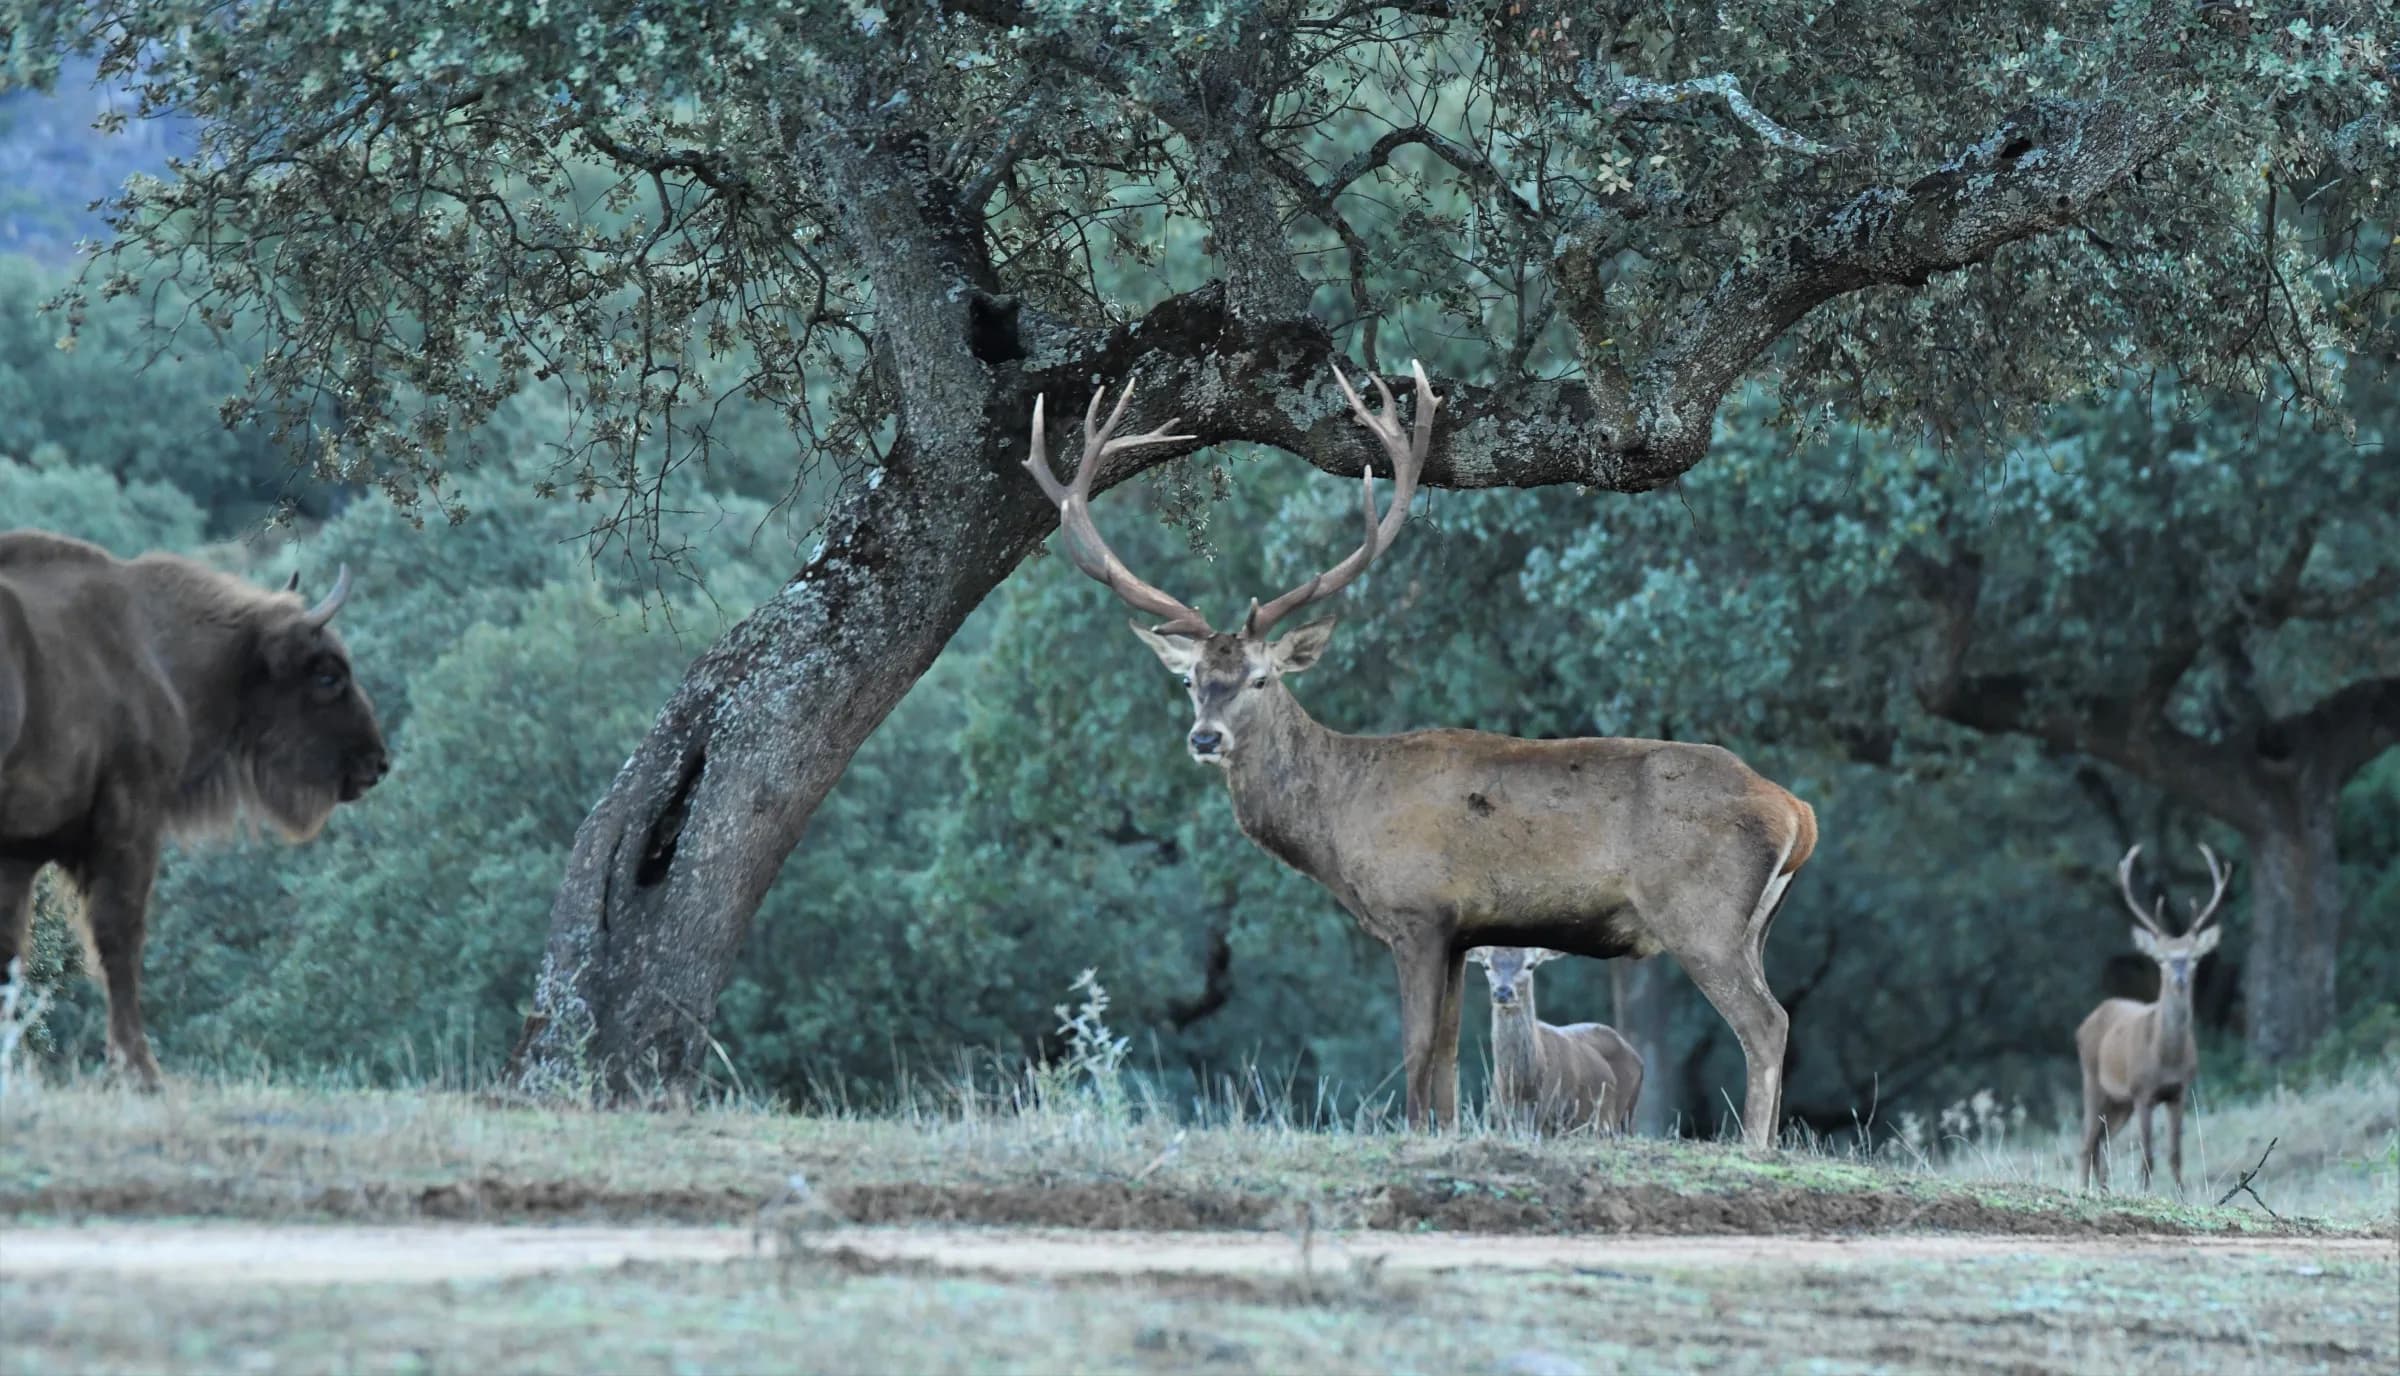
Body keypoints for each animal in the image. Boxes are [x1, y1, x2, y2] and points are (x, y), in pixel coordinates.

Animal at [1470, 947, 1644, 1134]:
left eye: (1530, 965)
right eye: (1486, 965)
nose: (1503, 992)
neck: (1523, 1087)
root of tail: (1638, 1058)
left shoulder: (1557, 1114)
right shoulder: (1501, 1116)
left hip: (1624, 1112)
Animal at [2077, 843, 2229, 1193]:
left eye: (2194, 957)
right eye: (2161, 959)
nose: (2179, 977)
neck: (2165, 1058)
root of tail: (2089, 1018)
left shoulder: (2179, 1091)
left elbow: (2175, 1154)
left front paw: (2181, 1196)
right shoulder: (2142, 1090)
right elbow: (2147, 1155)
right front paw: (2144, 1194)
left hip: (2119, 1103)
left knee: (2101, 1142)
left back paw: (2103, 1190)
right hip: (2093, 1080)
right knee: (2087, 1142)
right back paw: (2085, 1190)